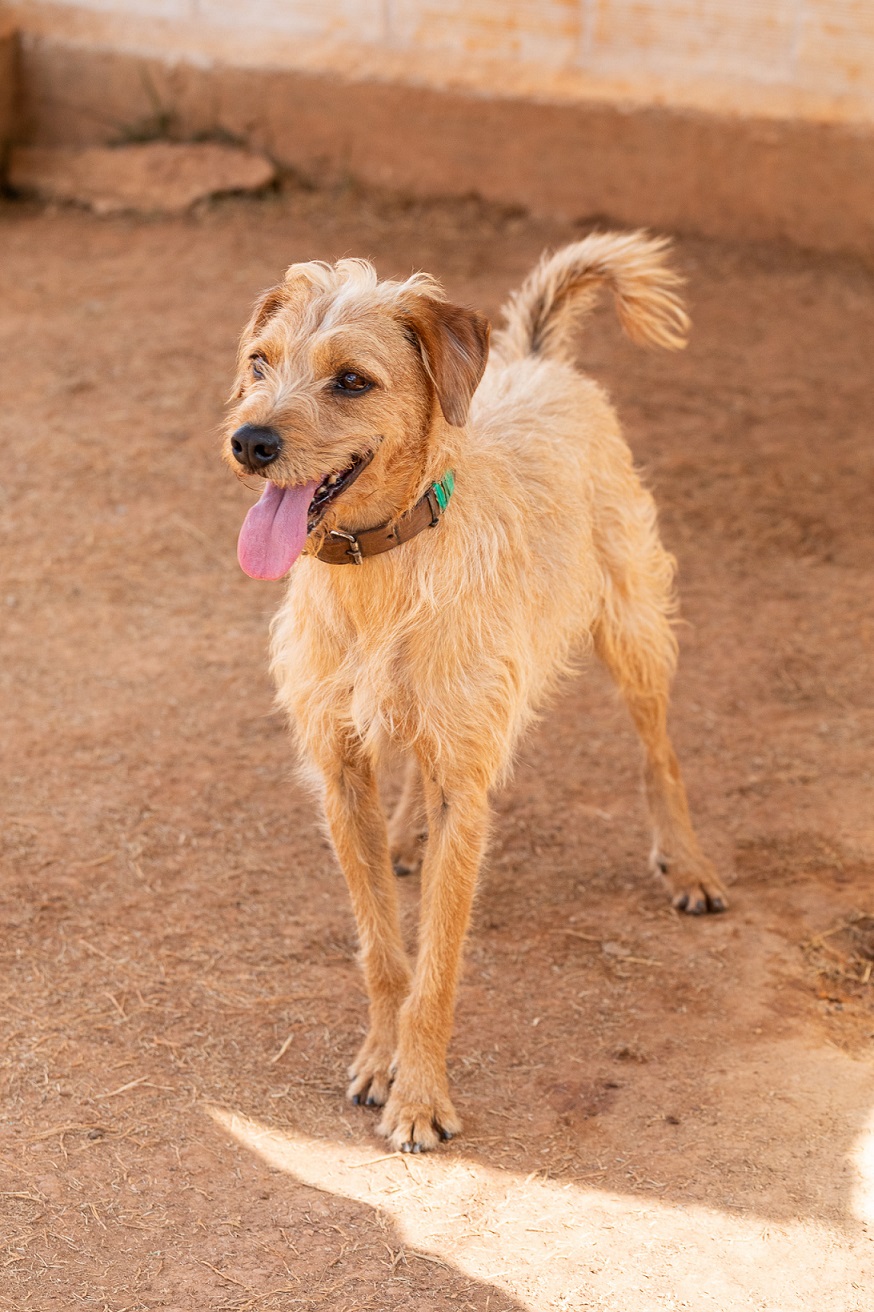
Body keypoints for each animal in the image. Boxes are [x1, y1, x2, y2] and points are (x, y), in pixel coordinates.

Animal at [221, 230, 724, 1154]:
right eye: (259, 362)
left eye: (353, 380)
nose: (250, 441)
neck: (382, 564)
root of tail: (535, 360)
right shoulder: (341, 774)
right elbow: (386, 953)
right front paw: (379, 1060)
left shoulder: (467, 788)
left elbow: (437, 965)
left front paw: (420, 1097)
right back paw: (406, 838)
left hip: (633, 629)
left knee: (659, 751)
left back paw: (690, 863)